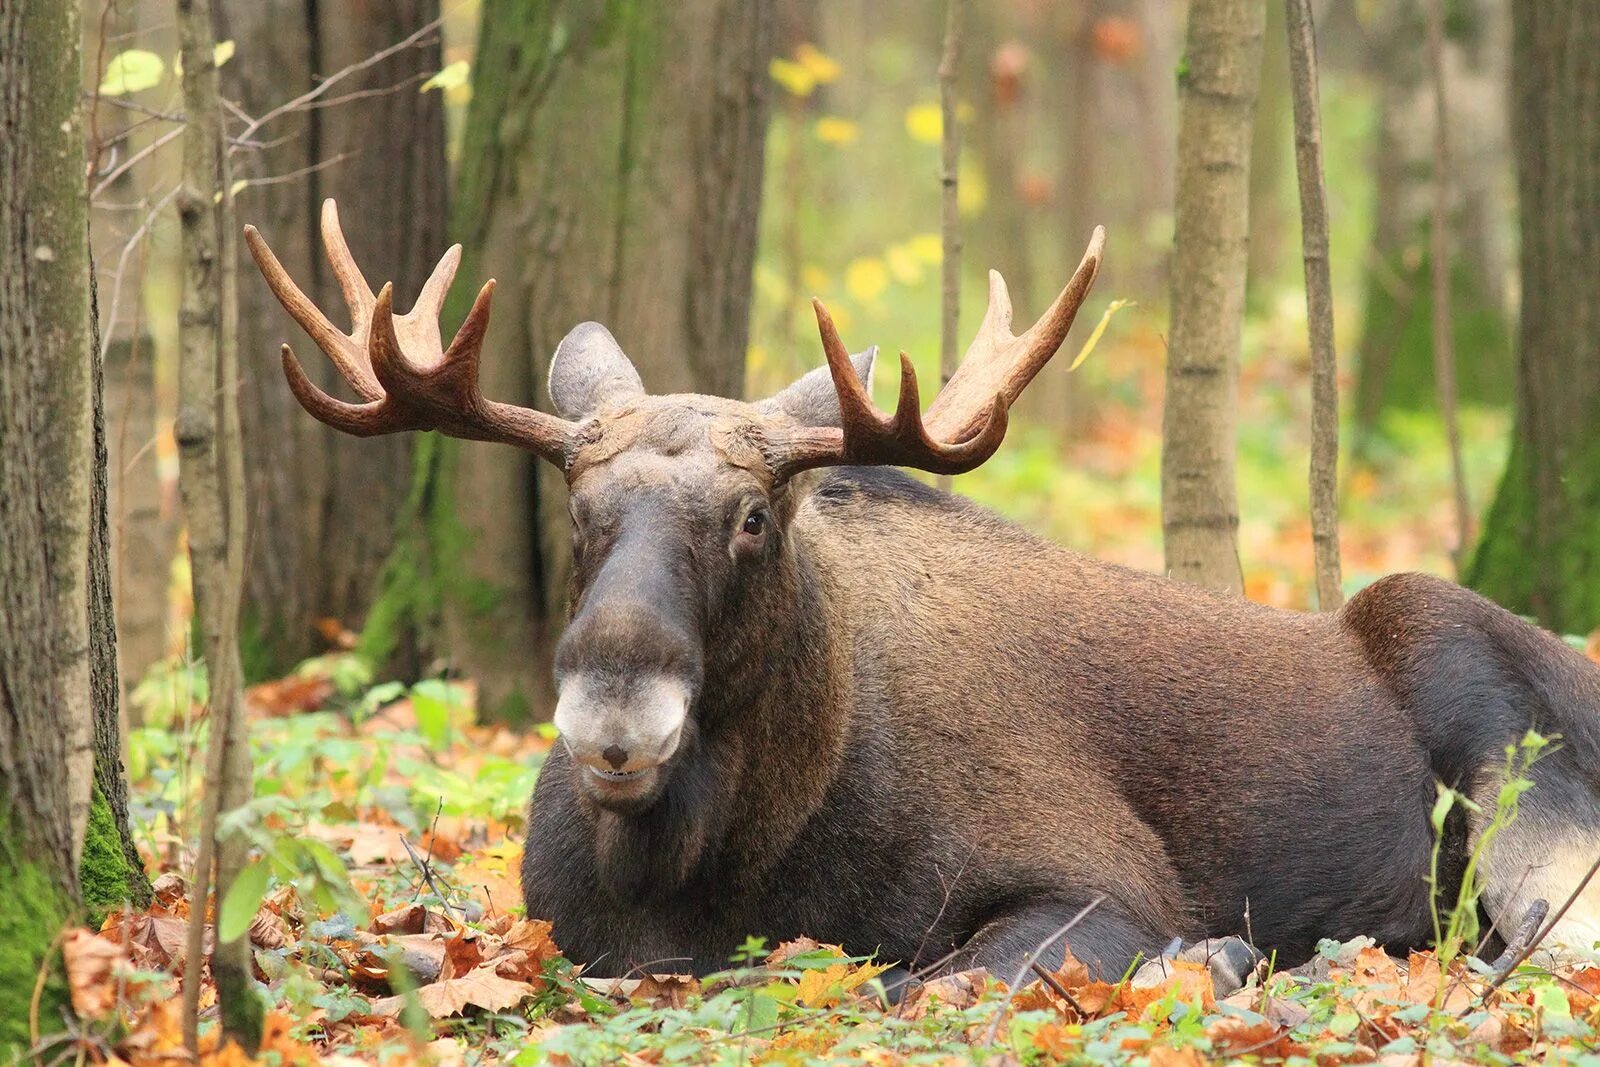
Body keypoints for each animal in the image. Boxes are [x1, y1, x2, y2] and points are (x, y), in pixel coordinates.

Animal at [246, 199, 1600, 985]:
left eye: (755, 516)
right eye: (578, 512)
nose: (614, 713)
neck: (709, 862)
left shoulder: (1104, 882)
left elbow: (920, 979)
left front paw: (1218, 953)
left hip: (1494, 724)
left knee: (1526, 948)